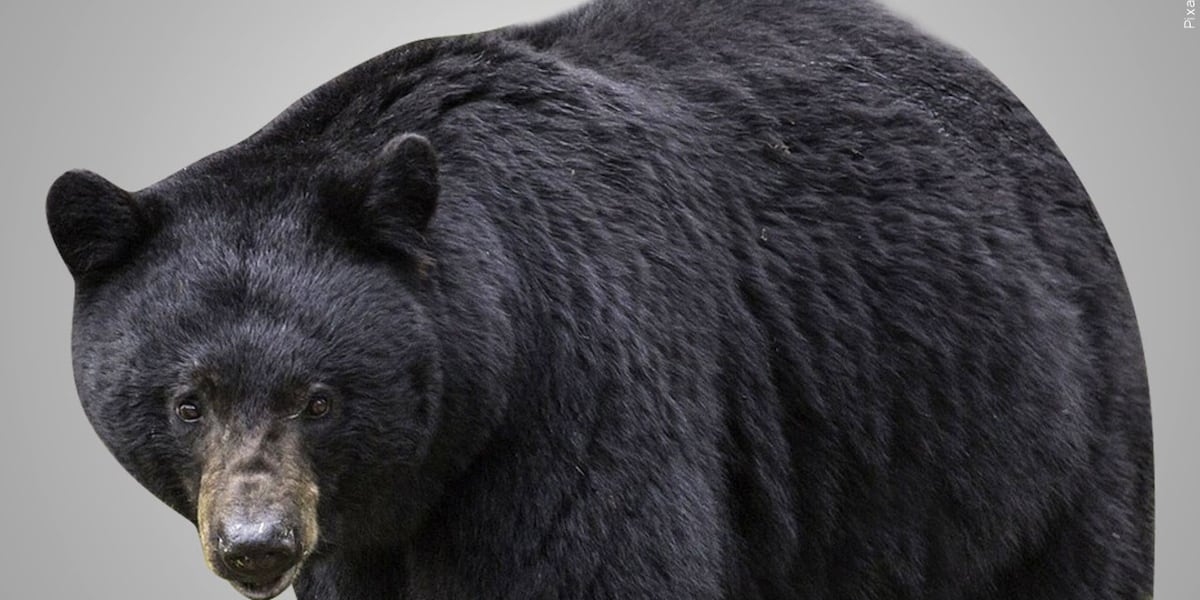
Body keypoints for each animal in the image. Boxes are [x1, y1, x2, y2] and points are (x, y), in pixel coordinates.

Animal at [45, 0, 1153, 598]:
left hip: (1040, 439)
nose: (255, 545)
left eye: (320, 398)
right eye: (189, 401)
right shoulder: (359, 532)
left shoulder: (582, 387)